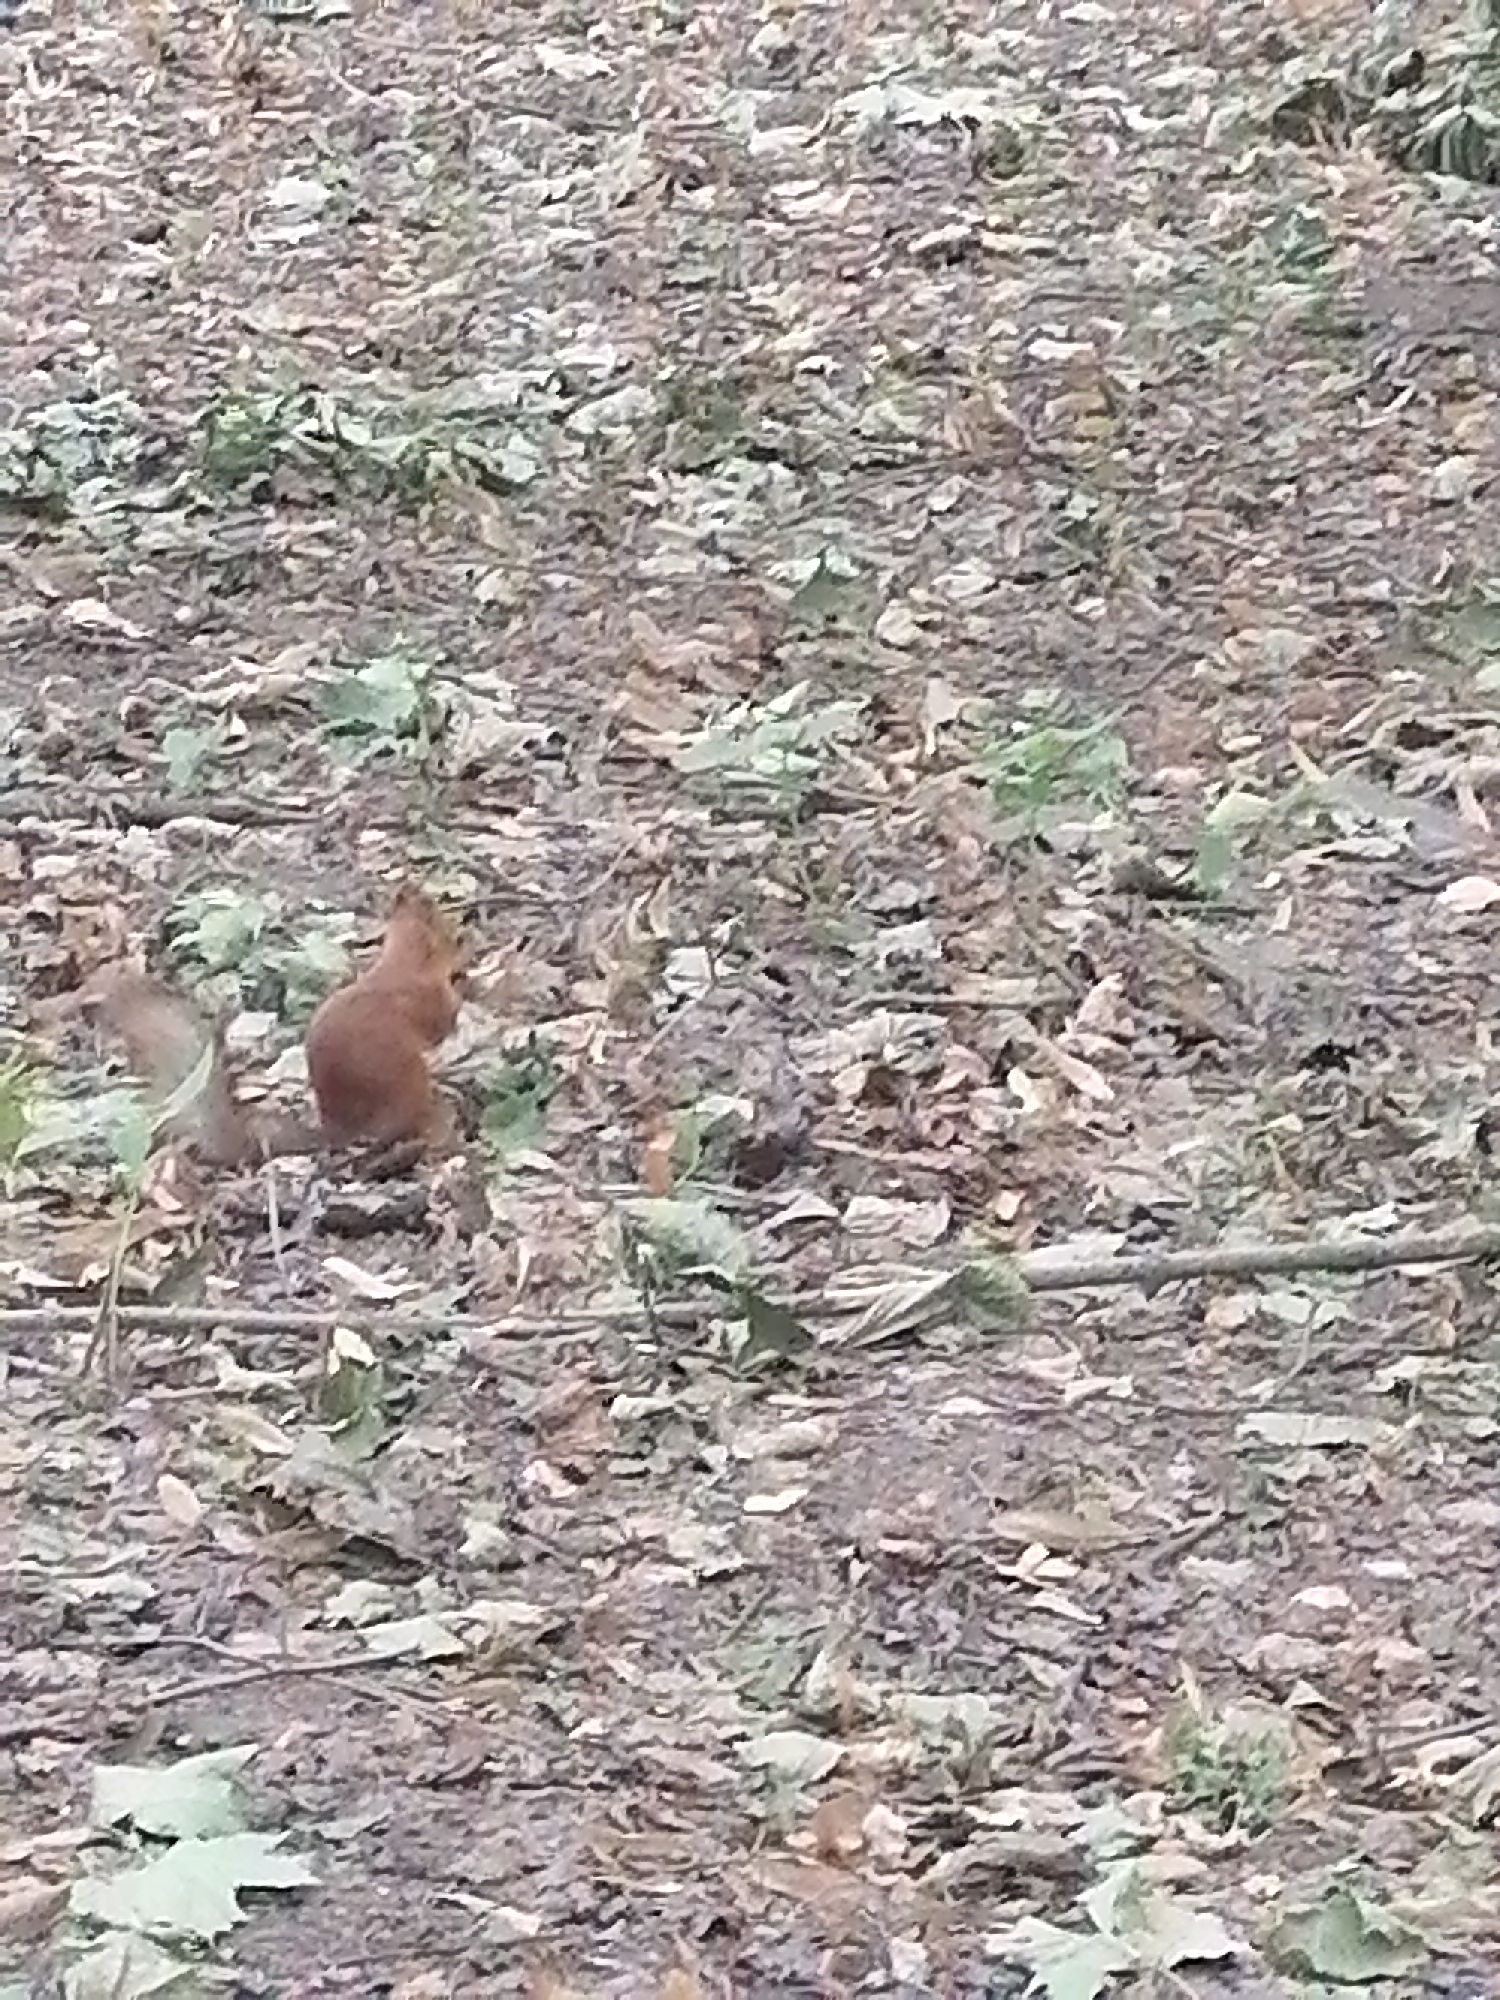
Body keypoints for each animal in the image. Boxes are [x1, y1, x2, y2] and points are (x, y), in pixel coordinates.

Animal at [85, 884, 465, 1165]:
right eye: (450, 936)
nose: (466, 945)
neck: (404, 962)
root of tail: (337, 1129)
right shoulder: (428, 1003)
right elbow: (441, 1026)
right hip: (408, 1081)